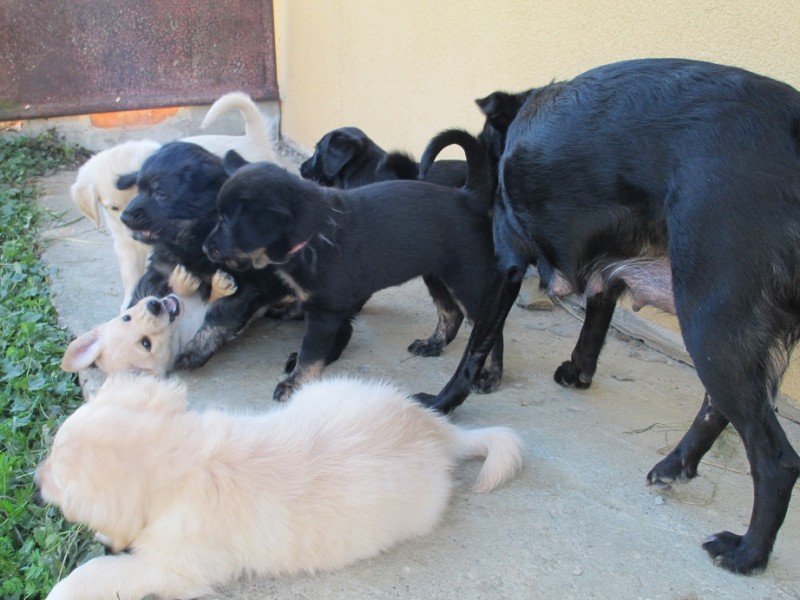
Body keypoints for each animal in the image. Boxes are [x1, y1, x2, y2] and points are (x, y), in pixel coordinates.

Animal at [34, 373, 523, 600]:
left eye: (58, 473)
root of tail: (435, 427)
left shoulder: (175, 568)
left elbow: (101, 572)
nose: (36, 479)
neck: (186, 455)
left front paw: (63, 589)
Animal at [61, 265, 237, 376]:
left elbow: (179, 292)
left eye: (126, 318)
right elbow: (214, 308)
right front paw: (221, 288)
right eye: (146, 343)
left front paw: (182, 281)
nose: (154, 306)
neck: (179, 328)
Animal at [70, 92, 277, 311]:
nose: (126, 218)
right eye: (113, 208)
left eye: (160, 194)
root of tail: (253, 139)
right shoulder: (135, 252)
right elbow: (134, 281)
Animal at [117, 141, 298, 370]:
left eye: (160, 193)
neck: (197, 235)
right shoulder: (161, 268)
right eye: (139, 188)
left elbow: (217, 317)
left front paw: (194, 352)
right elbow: (140, 293)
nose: (124, 217)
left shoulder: (243, 286)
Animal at [416, 58, 800, 574]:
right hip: (718, 328)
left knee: (775, 458)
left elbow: (477, 344)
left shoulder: (508, 260)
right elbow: (595, 320)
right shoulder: (608, 266)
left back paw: (748, 553)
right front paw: (578, 372)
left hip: (710, 321)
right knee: (715, 407)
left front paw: (444, 400)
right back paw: (674, 467)